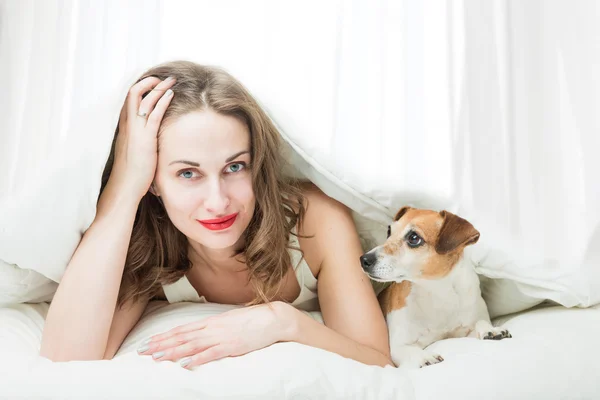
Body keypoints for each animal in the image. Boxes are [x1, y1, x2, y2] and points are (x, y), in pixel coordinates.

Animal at [360, 206, 510, 368]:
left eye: (414, 238)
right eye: (389, 232)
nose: (364, 259)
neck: (437, 290)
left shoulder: (466, 328)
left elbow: (480, 322)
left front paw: (491, 329)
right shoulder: (399, 346)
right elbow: (410, 350)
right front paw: (424, 356)